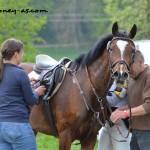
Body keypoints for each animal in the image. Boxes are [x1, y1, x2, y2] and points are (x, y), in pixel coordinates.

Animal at [20, 21, 137, 149]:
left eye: (132, 51)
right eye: (111, 49)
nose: (120, 74)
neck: (86, 90)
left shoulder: (89, 138)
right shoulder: (65, 136)